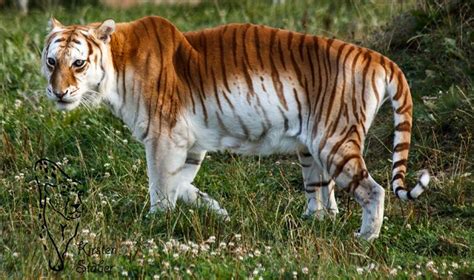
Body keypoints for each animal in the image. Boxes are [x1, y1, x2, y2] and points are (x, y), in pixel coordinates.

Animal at [41, 15, 430, 241]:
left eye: (78, 63)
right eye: (51, 61)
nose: (57, 92)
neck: (116, 67)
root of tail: (377, 57)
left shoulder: (164, 137)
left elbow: (161, 185)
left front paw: (155, 222)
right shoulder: (189, 143)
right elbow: (180, 184)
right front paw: (217, 211)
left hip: (334, 142)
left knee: (373, 191)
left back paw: (364, 239)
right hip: (312, 151)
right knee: (322, 198)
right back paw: (309, 223)